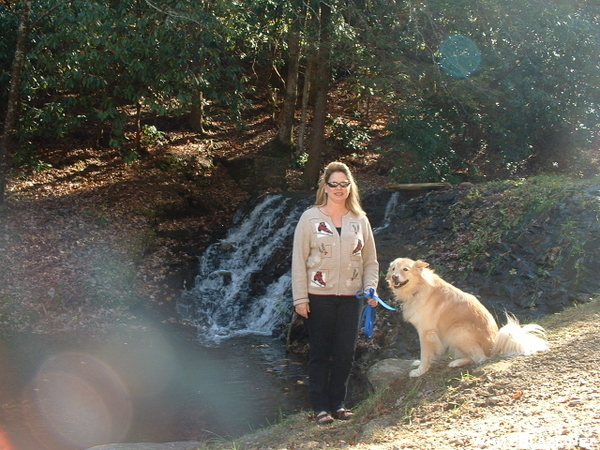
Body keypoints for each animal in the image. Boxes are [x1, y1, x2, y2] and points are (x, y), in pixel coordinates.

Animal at [384, 256, 548, 376]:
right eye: (393, 268)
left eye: (405, 269)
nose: (394, 277)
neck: (417, 289)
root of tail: (494, 344)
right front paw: (420, 363)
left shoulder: (426, 332)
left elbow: (425, 353)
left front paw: (420, 371)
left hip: (457, 330)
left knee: (479, 358)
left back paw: (457, 362)